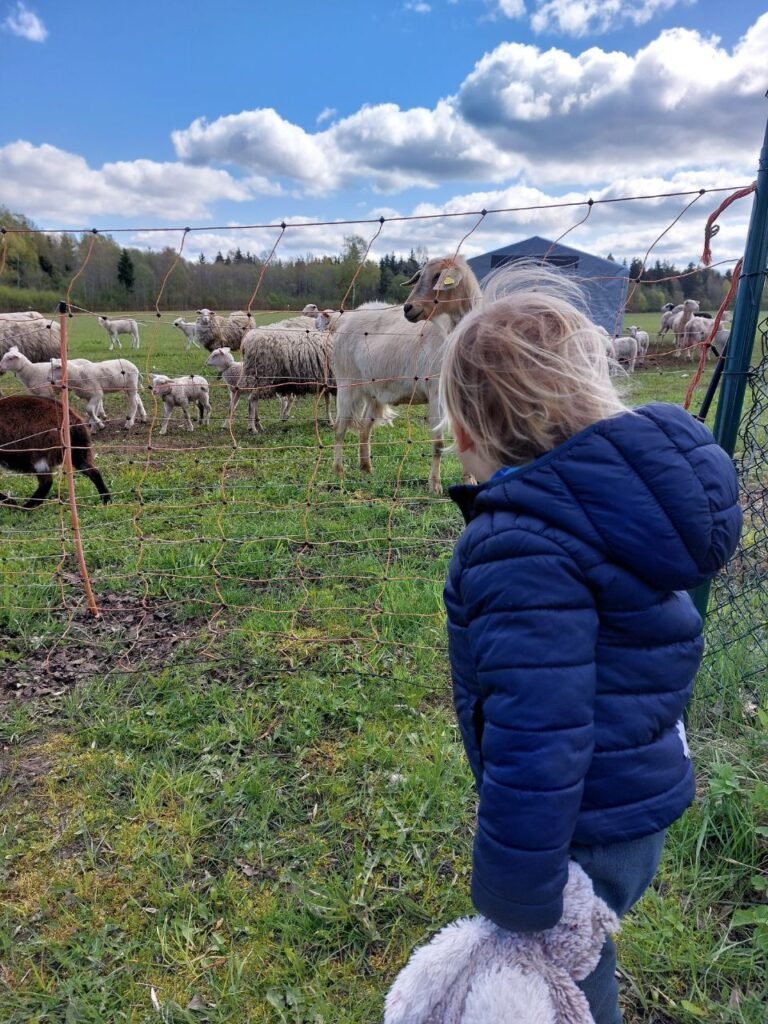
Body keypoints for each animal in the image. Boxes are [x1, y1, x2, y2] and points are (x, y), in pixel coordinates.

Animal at [331, 256, 481, 495]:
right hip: (346, 383)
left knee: (364, 427)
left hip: (373, 391)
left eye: (437, 277)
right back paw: (339, 471)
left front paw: (469, 480)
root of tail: (345, 319)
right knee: (340, 427)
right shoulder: (435, 392)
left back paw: (366, 468)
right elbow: (438, 443)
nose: (408, 308)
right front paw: (434, 485)